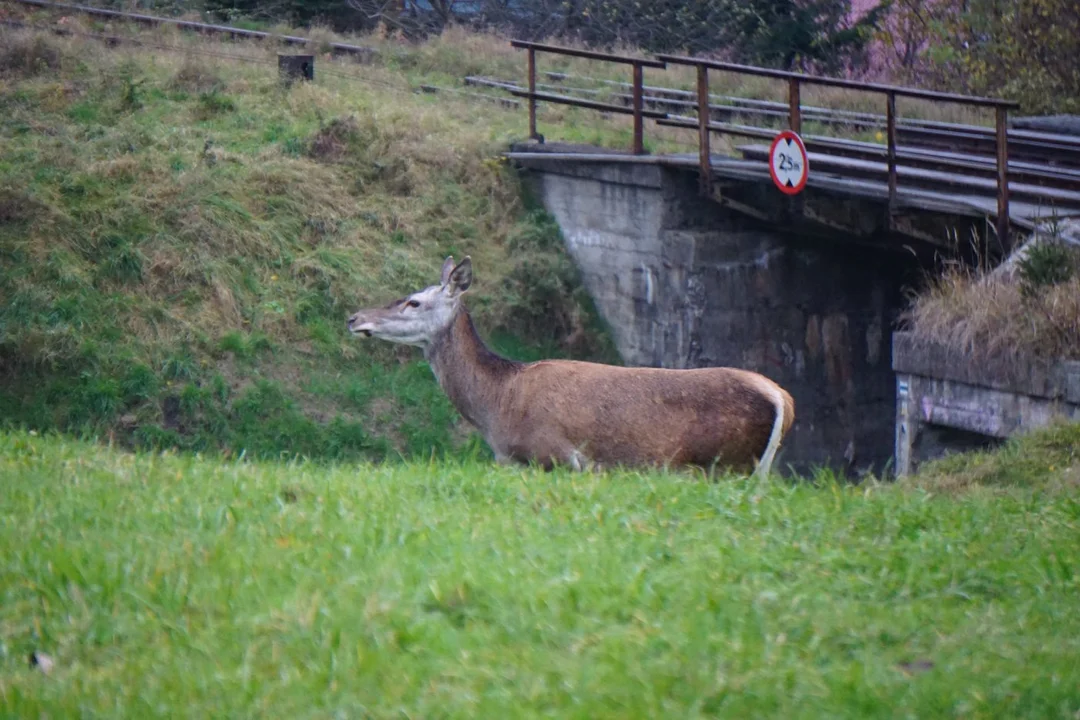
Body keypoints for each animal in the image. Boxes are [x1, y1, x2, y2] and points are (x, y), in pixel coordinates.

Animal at [345, 255, 794, 474]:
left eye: (414, 301)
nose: (354, 317)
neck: (498, 408)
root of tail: (783, 400)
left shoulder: (552, 455)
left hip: (729, 464)